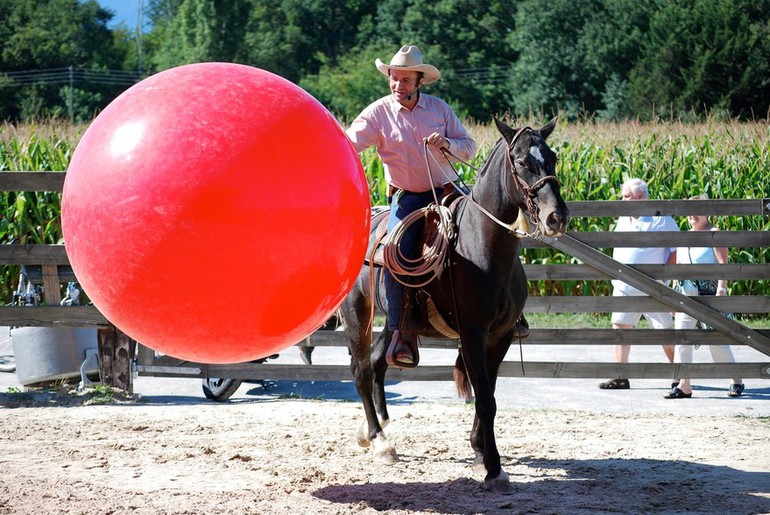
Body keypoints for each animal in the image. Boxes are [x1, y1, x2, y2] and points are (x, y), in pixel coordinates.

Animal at [340, 118, 568, 496]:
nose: (556, 217)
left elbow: (489, 394)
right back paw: (379, 440)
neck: (482, 245)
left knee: (375, 363)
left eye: (552, 157)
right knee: (360, 371)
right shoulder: (473, 334)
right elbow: (485, 399)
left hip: (394, 326)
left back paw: (374, 429)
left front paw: (478, 451)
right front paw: (494, 469)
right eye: (521, 161)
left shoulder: (501, 336)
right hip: (358, 315)